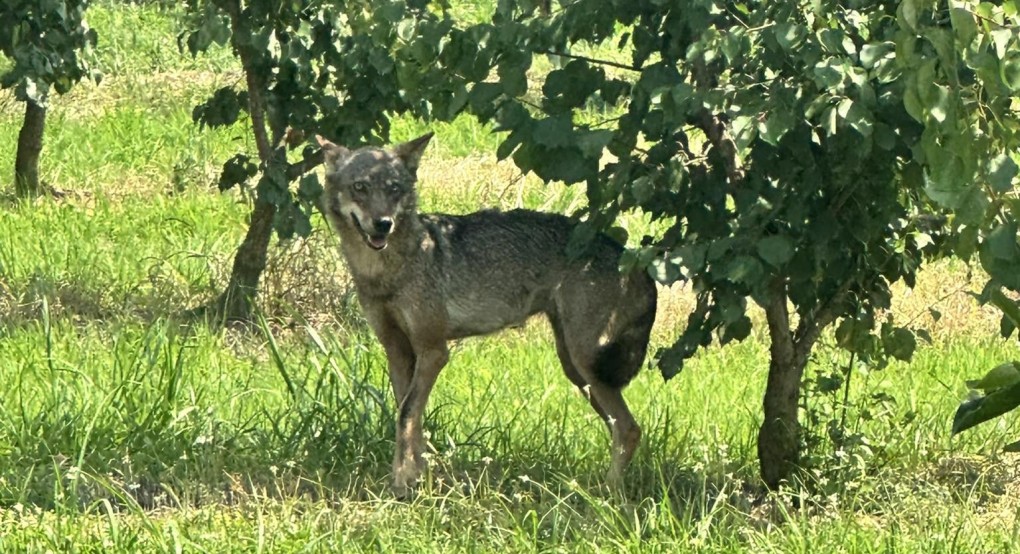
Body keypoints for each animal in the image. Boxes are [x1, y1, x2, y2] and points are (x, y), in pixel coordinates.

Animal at [314, 133, 656, 497]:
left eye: (394, 189)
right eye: (360, 187)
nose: (382, 224)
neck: (388, 272)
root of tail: (632, 257)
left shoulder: (433, 352)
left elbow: (405, 415)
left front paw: (403, 482)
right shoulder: (397, 351)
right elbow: (410, 418)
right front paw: (418, 477)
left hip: (586, 364)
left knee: (628, 429)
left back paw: (609, 493)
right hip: (577, 370)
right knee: (620, 426)